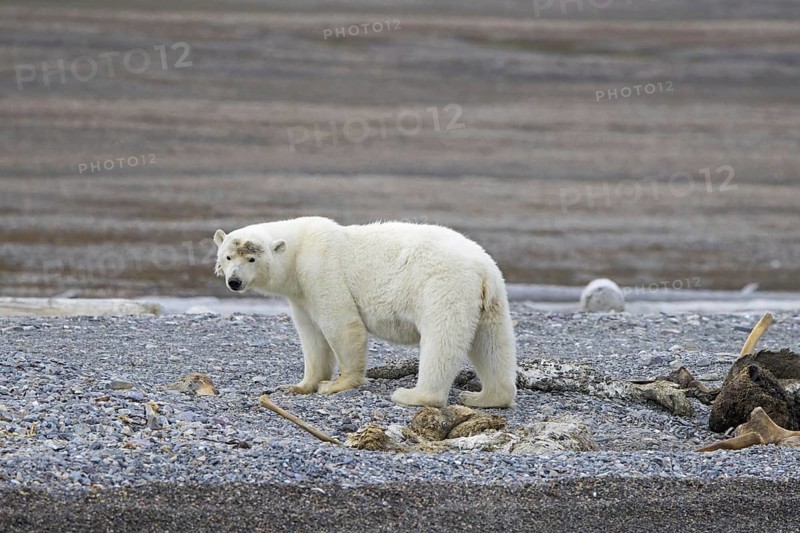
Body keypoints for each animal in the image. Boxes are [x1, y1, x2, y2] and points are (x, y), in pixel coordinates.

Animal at [213, 216, 517, 408]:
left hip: (444, 287)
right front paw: (299, 385)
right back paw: (484, 398)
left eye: (252, 258)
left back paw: (413, 395)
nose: (234, 281)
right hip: (491, 300)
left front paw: (336, 385)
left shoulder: (322, 272)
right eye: (228, 256)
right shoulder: (300, 295)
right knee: (492, 344)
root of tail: (483, 269)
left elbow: (341, 324)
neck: (299, 251)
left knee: (442, 342)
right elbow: (311, 336)